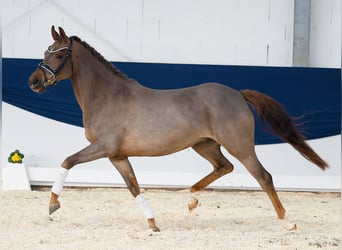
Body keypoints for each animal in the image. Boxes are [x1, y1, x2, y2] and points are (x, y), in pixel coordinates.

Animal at [28, 26, 326, 231]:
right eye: (45, 51)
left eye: (61, 54)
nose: (34, 82)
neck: (107, 96)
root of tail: (238, 95)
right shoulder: (118, 155)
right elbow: (134, 187)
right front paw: (153, 224)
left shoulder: (103, 147)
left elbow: (67, 161)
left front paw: (53, 204)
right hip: (204, 145)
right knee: (224, 167)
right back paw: (191, 200)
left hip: (240, 146)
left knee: (263, 177)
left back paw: (287, 222)